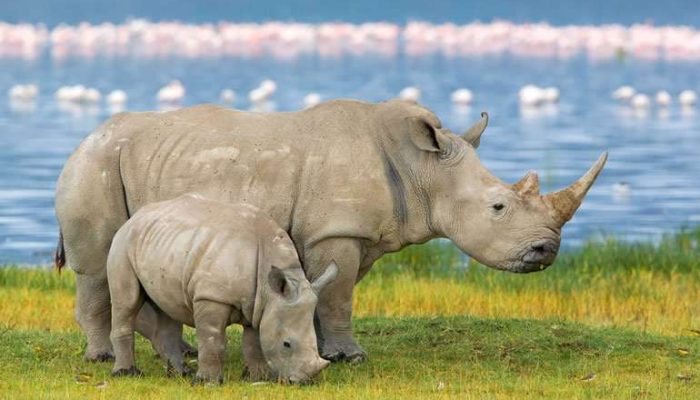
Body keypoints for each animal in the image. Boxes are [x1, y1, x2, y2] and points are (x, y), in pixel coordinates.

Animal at [55, 99, 606, 363]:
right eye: (498, 207)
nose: (547, 250)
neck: (422, 169)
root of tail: (84, 138)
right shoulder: (335, 231)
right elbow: (339, 297)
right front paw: (351, 358)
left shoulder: (349, 234)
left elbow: (328, 294)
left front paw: (319, 350)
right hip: (95, 167)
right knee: (98, 268)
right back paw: (104, 358)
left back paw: (183, 352)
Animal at [107, 194, 336, 383]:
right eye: (286, 344)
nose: (303, 382)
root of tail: (135, 217)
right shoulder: (211, 296)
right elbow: (213, 339)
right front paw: (207, 382)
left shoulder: (259, 304)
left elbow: (253, 342)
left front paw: (257, 378)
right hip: (122, 243)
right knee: (126, 303)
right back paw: (126, 374)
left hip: (162, 244)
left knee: (167, 306)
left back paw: (180, 374)